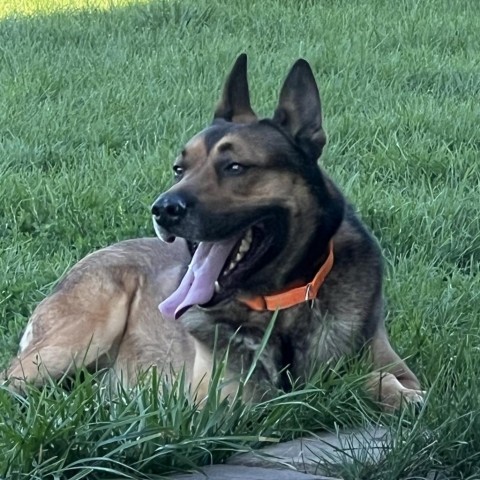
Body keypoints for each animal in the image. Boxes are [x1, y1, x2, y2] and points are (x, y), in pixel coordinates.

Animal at [3, 55, 424, 408]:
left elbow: (373, 378)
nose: (163, 210)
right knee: (13, 380)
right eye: (179, 168)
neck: (282, 305)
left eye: (235, 167)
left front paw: (398, 395)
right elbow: (299, 390)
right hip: (85, 331)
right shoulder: (221, 399)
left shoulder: (397, 367)